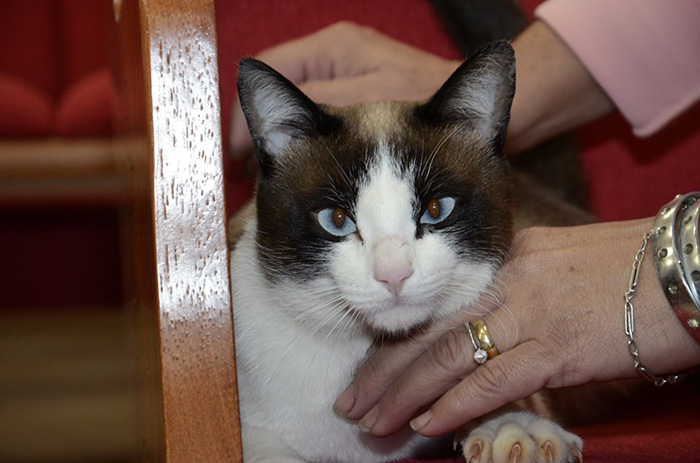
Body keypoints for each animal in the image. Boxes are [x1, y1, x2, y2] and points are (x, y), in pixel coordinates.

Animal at [230, 40, 584, 463]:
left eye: (436, 209)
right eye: (336, 219)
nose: (393, 274)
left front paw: (513, 427)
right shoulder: (245, 427)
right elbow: (270, 449)